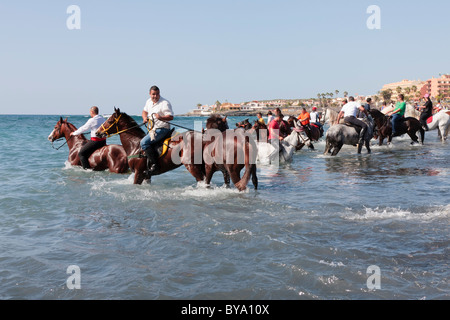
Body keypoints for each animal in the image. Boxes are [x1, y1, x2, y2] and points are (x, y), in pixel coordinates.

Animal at [96, 109, 256, 191]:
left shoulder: (138, 173)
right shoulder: (146, 175)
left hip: (192, 166)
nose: (98, 133)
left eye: (109, 120)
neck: (135, 145)